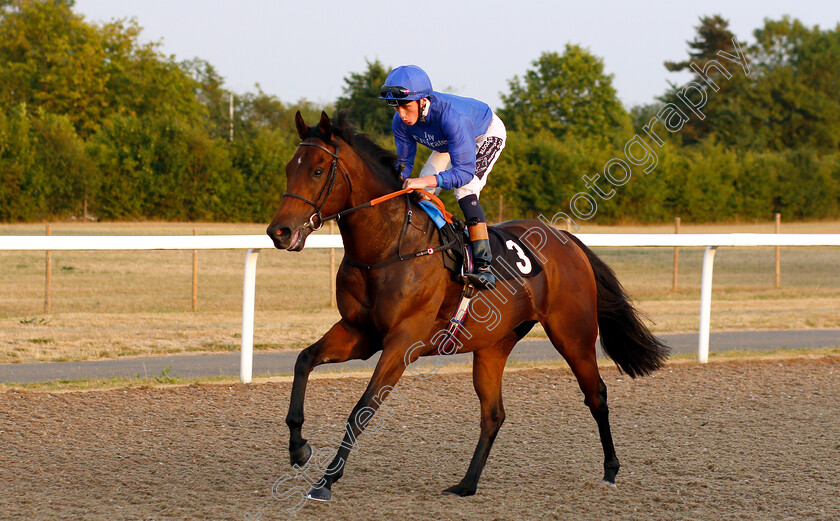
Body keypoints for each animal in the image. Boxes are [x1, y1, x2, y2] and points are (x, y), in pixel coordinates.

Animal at [266, 111, 668, 502]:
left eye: (318, 170)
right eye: (288, 168)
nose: (278, 232)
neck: (386, 249)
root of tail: (567, 239)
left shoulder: (402, 342)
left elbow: (361, 409)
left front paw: (326, 481)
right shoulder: (358, 332)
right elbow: (303, 360)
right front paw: (299, 448)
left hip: (573, 334)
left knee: (595, 394)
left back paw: (611, 470)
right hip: (494, 345)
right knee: (493, 414)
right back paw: (466, 484)